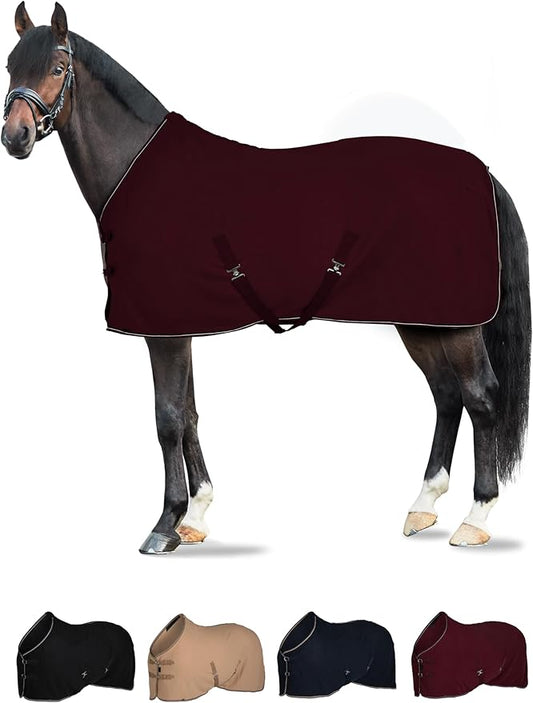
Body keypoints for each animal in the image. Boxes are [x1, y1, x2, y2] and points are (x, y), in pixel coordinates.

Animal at [3, 2, 530, 554]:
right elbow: (190, 413)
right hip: (421, 321)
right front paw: (196, 516)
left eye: (56, 68)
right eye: (10, 66)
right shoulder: (179, 326)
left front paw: (165, 524)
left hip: (458, 326)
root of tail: (483, 175)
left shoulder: (161, 331)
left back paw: (476, 518)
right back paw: (423, 506)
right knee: (447, 396)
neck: (140, 173)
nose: (15, 136)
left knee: (481, 397)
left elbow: (167, 418)